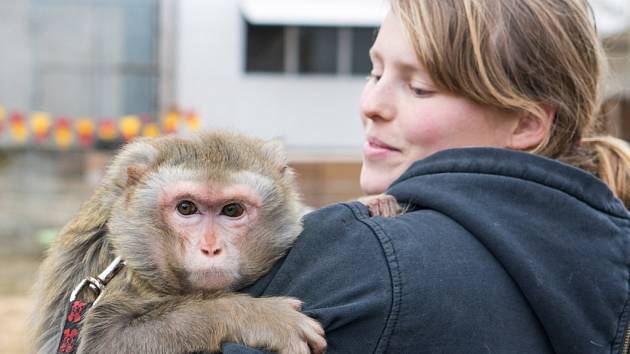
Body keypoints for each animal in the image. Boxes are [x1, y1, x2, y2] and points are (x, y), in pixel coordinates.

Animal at [28, 131, 326, 354]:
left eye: (232, 210)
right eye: (186, 207)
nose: (210, 248)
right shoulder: (120, 270)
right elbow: (105, 342)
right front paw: (258, 316)